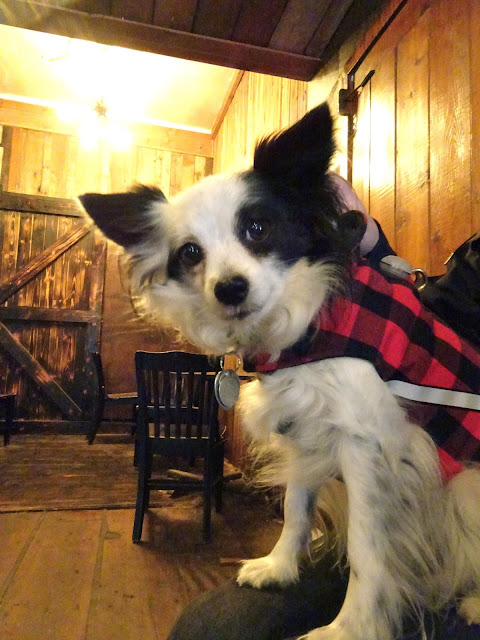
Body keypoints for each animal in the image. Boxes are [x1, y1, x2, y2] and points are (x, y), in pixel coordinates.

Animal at [80, 103, 480, 640]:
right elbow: (295, 508)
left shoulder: (370, 448)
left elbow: (367, 550)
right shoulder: (304, 432)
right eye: (190, 253)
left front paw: (348, 628)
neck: (299, 333)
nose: (229, 288)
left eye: (258, 228)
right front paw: (280, 568)